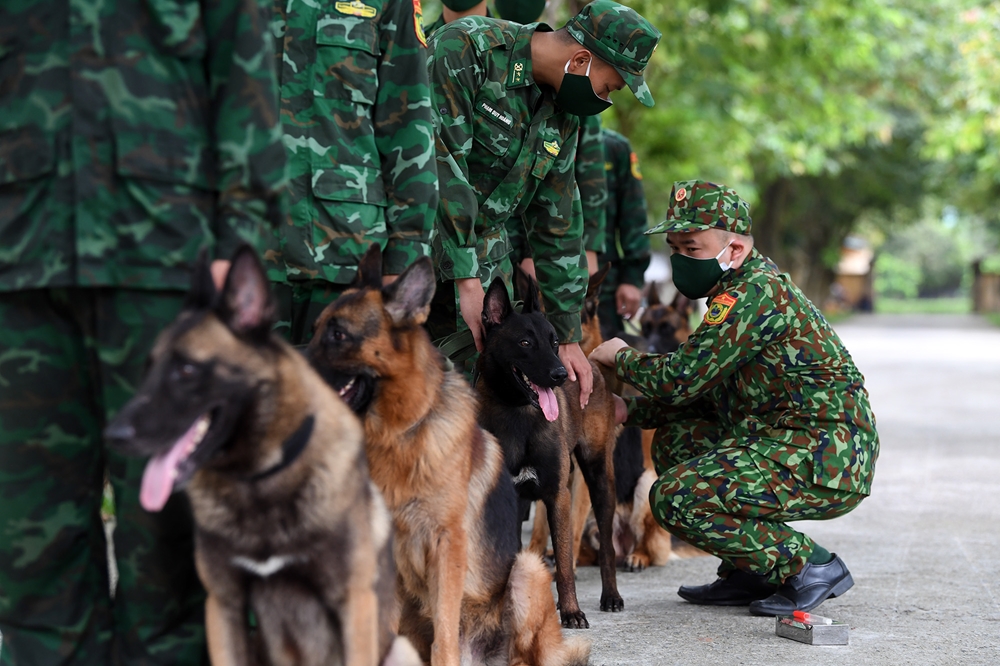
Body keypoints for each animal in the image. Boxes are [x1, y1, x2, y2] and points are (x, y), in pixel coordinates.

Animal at [101, 245, 414, 664]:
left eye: (186, 370)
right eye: (148, 369)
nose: (113, 434)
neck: (258, 479)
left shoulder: (354, 606)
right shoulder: (223, 606)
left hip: (401, 647)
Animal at [472, 272, 620, 624]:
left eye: (554, 342)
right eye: (525, 343)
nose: (561, 374)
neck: (519, 415)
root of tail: (589, 362)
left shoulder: (558, 495)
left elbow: (564, 565)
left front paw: (571, 612)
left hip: (599, 479)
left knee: (607, 547)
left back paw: (611, 596)